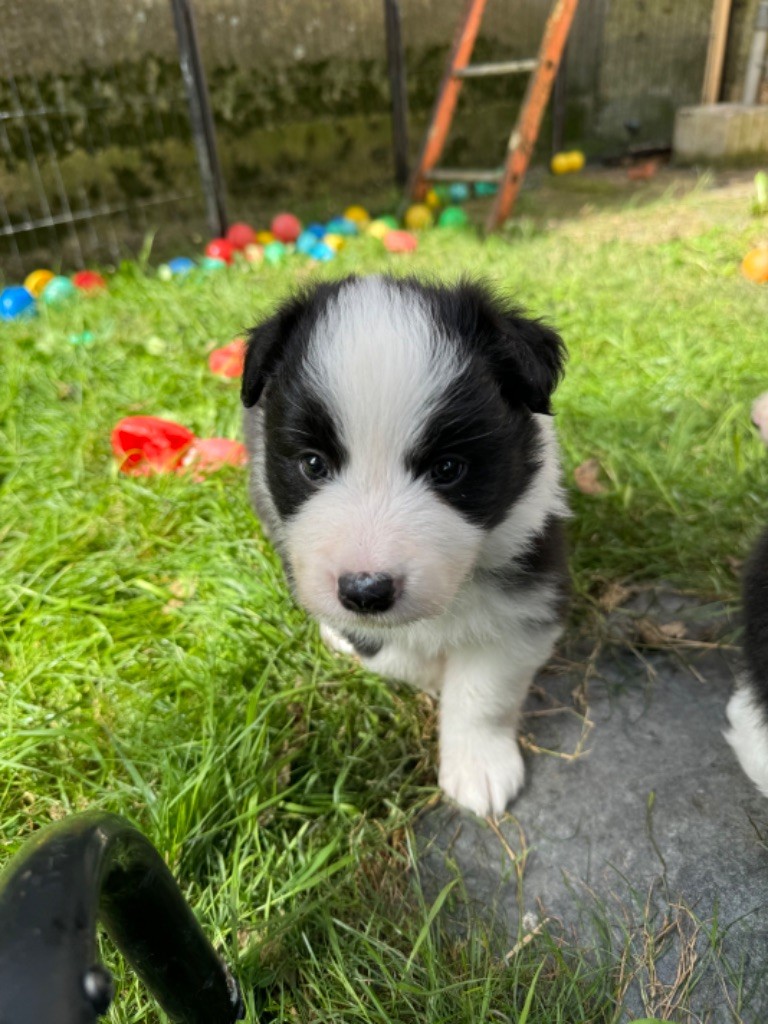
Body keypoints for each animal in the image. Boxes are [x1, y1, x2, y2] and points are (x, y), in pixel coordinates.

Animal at [241, 275, 569, 817]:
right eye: (313, 464)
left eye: (449, 468)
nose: (366, 591)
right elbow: (391, 653)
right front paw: (428, 670)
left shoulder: (530, 585)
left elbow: (485, 690)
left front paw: (479, 766)